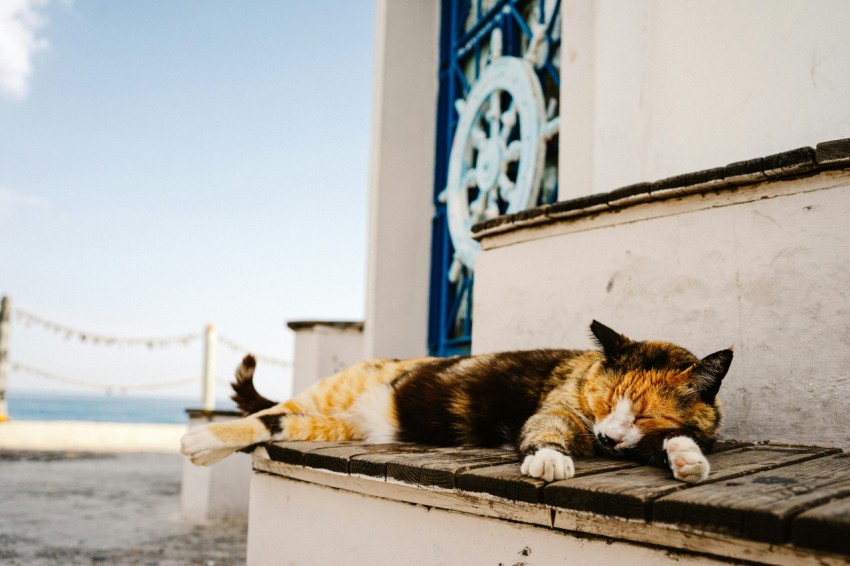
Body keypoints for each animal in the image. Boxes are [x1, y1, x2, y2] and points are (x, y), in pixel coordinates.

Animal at [179, 322, 728, 486]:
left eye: (645, 412)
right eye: (605, 397)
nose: (608, 437)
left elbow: (672, 440)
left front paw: (686, 459)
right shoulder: (557, 411)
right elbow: (546, 431)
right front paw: (550, 459)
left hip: (330, 426)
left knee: (278, 422)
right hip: (329, 393)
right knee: (263, 413)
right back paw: (200, 441)